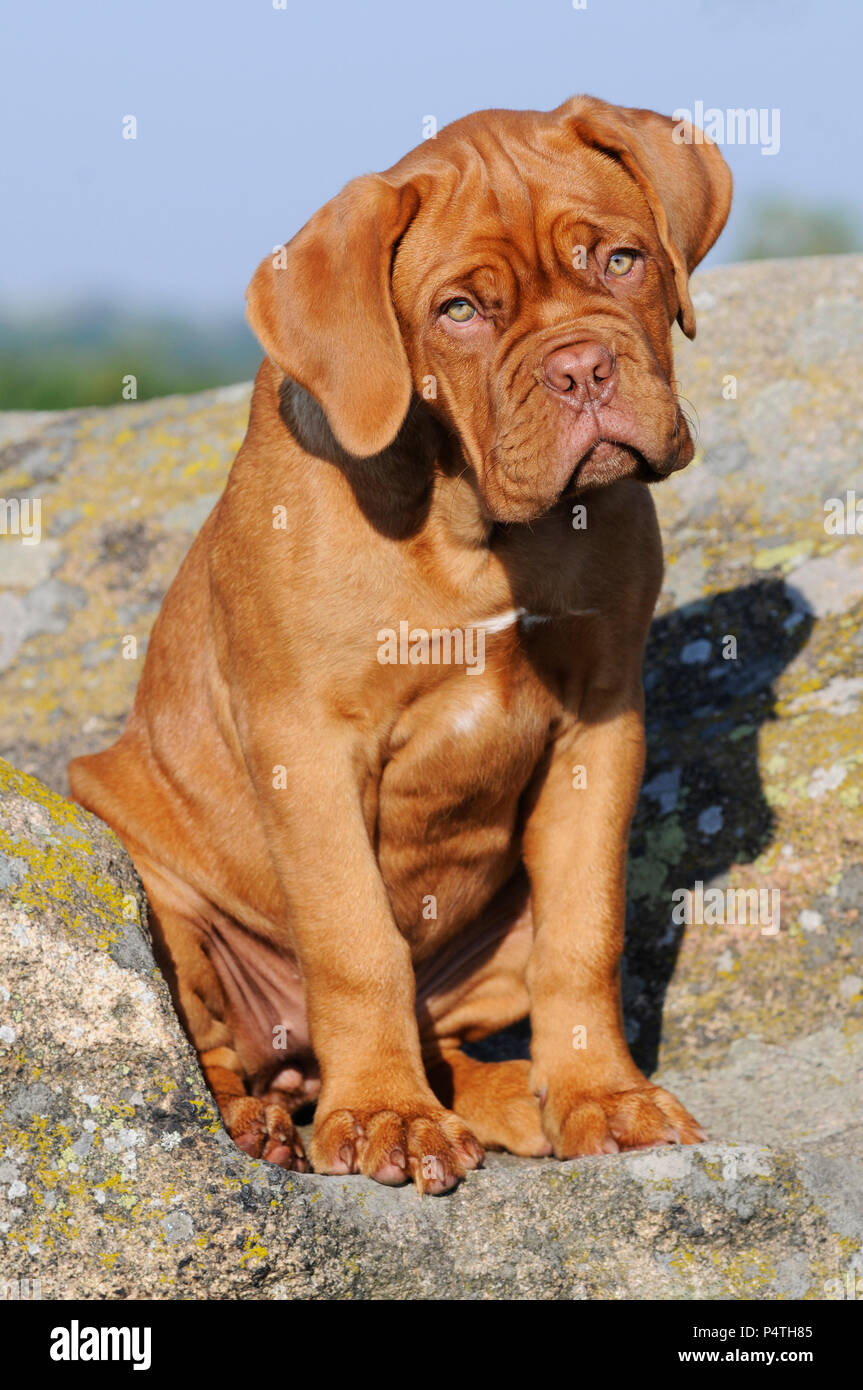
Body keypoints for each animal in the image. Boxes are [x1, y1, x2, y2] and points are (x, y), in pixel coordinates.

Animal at [69, 97, 728, 1195]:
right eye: (457, 311)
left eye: (622, 259)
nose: (581, 370)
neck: (472, 528)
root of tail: (292, 1058)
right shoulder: (306, 746)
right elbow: (352, 941)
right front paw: (388, 1116)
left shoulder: (598, 728)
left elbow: (584, 934)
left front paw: (602, 1097)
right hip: (154, 883)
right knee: (215, 1048)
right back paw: (263, 1123)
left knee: (446, 1034)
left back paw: (510, 1098)